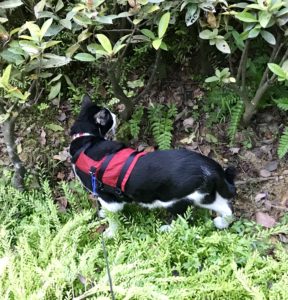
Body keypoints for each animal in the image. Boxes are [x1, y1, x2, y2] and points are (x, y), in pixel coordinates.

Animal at [70, 95, 236, 236]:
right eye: (110, 116)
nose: (116, 115)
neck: (85, 140)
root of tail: (210, 167)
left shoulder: (109, 199)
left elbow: (113, 218)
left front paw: (111, 233)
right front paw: (103, 214)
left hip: (175, 200)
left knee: (182, 219)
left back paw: (167, 229)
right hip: (203, 196)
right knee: (226, 208)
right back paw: (221, 222)